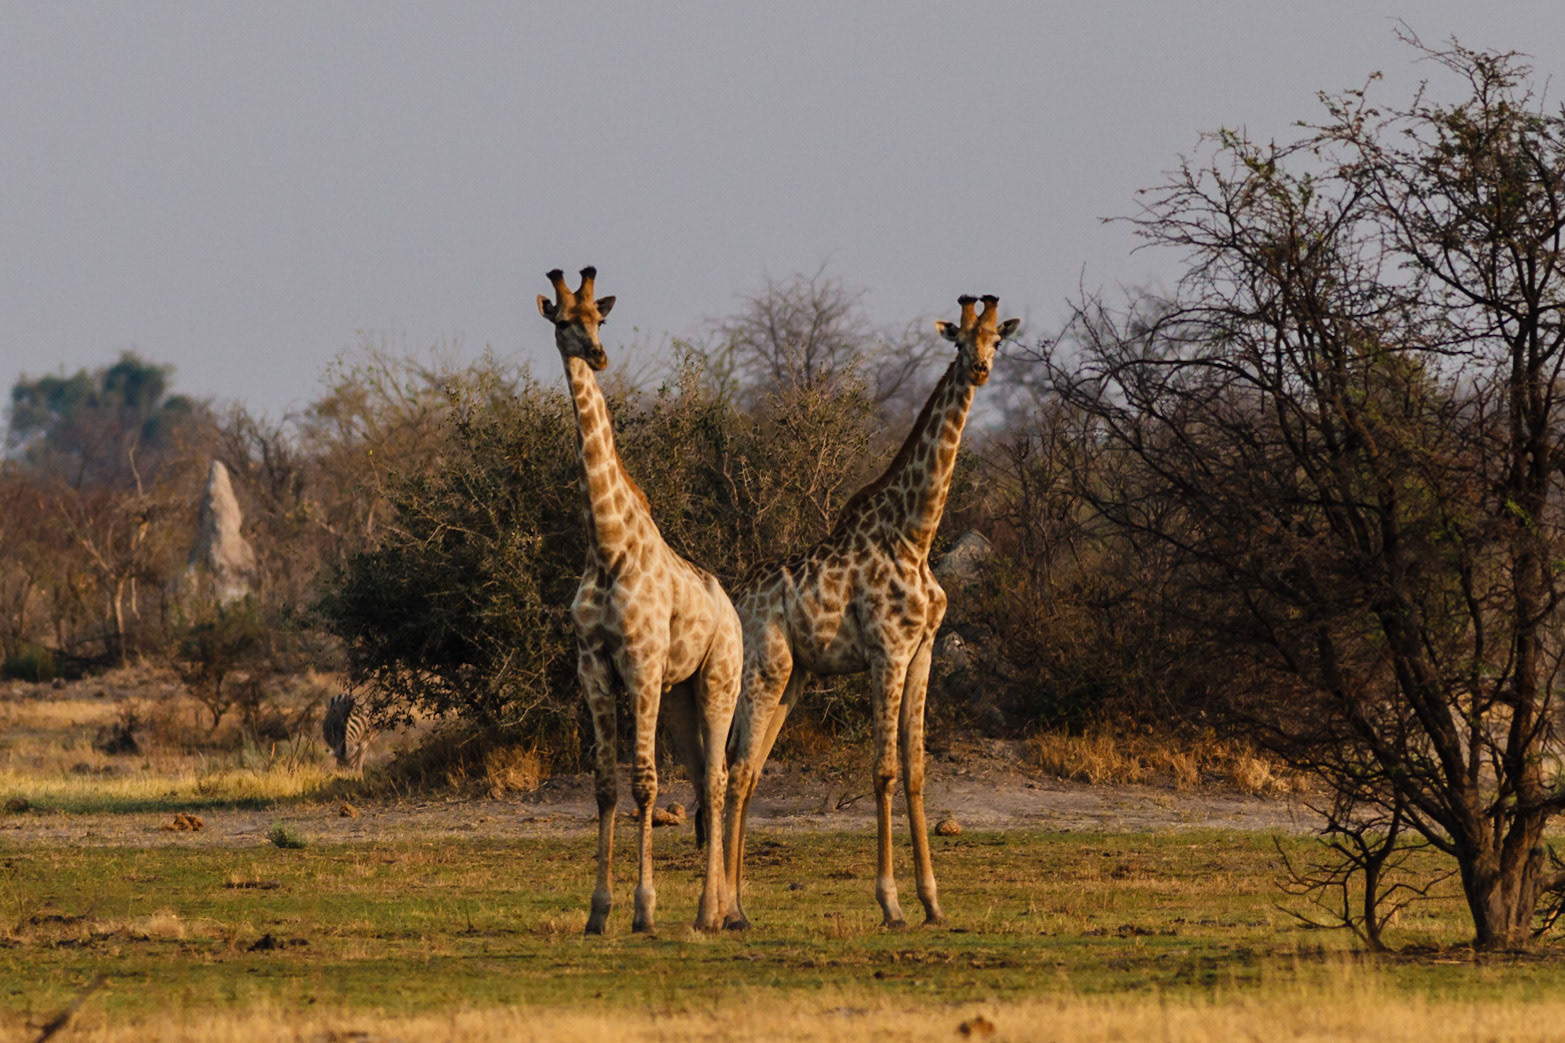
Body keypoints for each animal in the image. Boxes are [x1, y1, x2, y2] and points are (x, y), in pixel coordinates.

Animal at [537, 266, 742, 934]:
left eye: (600, 318)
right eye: (563, 321)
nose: (598, 355)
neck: (607, 545)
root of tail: (733, 610)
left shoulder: (644, 665)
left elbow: (647, 786)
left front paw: (644, 910)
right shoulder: (594, 668)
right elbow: (605, 785)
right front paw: (598, 912)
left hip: (718, 680)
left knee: (719, 777)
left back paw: (713, 913)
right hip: (680, 697)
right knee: (703, 778)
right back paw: (721, 911)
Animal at [719, 294, 1019, 929]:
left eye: (996, 340)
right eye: (960, 341)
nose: (980, 370)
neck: (916, 536)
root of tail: (737, 599)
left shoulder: (923, 652)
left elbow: (916, 770)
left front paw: (933, 902)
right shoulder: (887, 653)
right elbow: (882, 770)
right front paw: (891, 904)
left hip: (795, 679)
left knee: (751, 771)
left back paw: (740, 906)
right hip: (764, 669)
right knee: (737, 769)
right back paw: (728, 911)